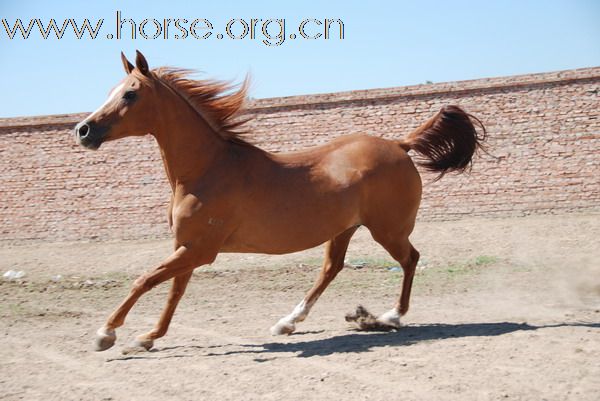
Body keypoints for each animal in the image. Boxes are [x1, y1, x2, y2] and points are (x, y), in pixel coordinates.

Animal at [75, 50, 488, 354]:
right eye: (113, 89)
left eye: (130, 93)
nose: (83, 130)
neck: (208, 170)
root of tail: (400, 145)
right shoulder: (187, 247)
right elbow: (174, 291)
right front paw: (147, 338)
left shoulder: (200, 250)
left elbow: (144, 280)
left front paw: (107, 334)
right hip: (344, 229)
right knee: (331, 269)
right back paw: (288, 322)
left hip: (387, 230)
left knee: (410, 260)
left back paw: (391, 317)